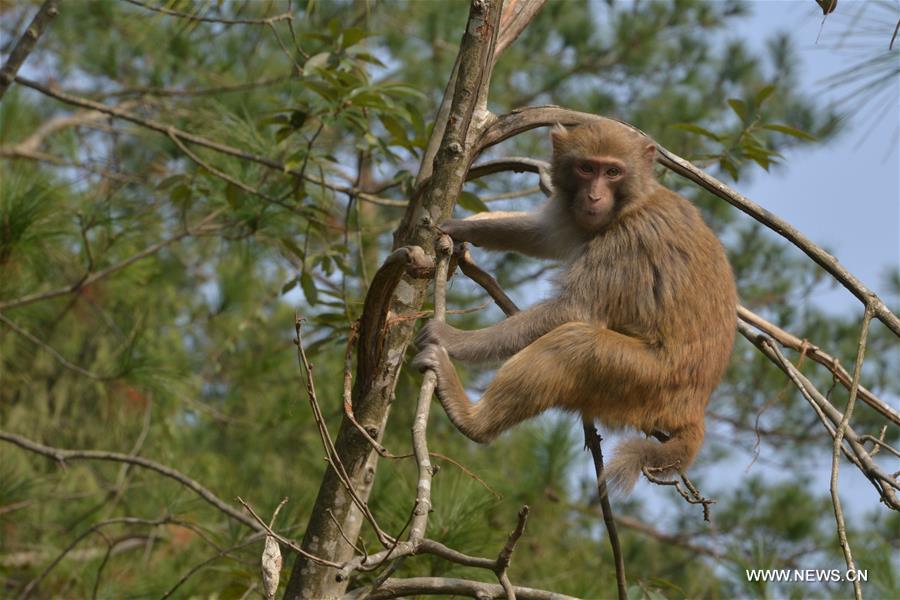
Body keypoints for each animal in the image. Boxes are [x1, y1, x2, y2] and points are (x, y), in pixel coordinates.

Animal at [414, 119, 740, 490]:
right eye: (586, 168)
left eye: (612, 172)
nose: (594, 196)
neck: (633, 203)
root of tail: (694, 409)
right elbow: (543, 234)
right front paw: (462, 227)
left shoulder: (627, 241)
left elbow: (573, 310)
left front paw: (451, 337)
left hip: (647, 383)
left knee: (576, 345)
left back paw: (472, 420)